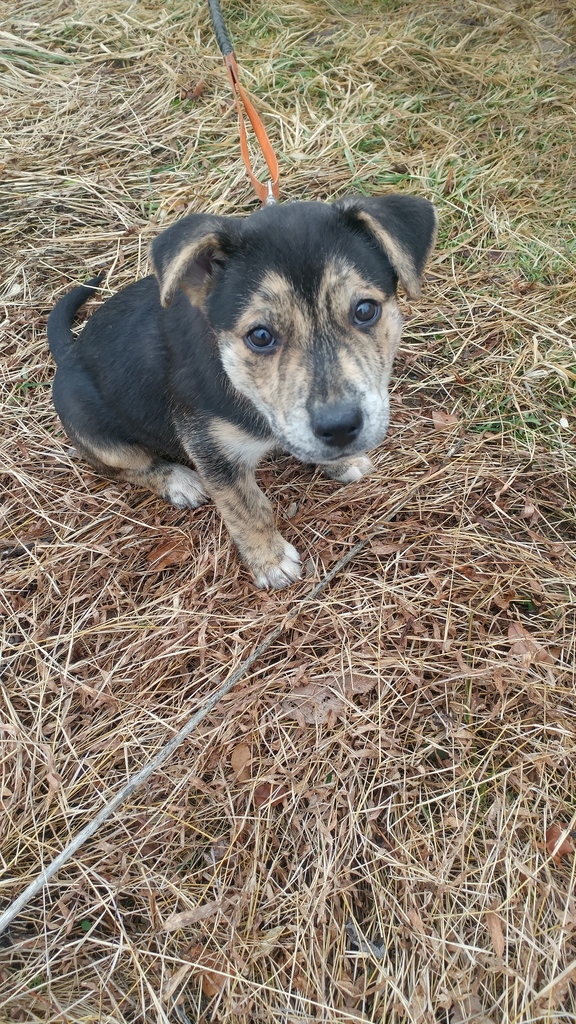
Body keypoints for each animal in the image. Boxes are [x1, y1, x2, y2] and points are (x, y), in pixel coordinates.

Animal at [48, 195, 434, 589]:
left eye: (365, 310)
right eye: (260, 336)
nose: (340, 428)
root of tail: (70, 353)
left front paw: (343, 461)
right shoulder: (211, 449)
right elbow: (248, 509)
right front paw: (270, 560)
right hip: (94, 432)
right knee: (129, 467)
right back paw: (178, 481)